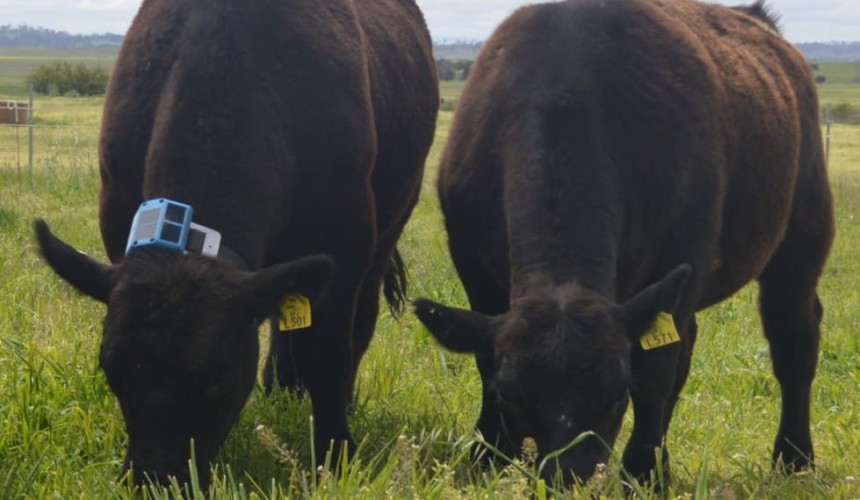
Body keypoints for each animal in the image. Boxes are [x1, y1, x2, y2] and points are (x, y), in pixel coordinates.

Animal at [34, 0, 438, 489]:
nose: (157, 481)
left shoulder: (348, 234)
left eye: (219, 378)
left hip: (390, 223)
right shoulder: (117, 223)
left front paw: (335, 454)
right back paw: (282, 392)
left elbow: (326, 353)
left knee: (357, 324)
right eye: (112, 371)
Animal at [414, 0, 833, 488]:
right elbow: (484, 357)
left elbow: (655, 372)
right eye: (510, 396)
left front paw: (643, 471)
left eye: (616, 395)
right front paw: (488, 455)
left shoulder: (683, 254)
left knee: (793, 339)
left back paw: (794, 457)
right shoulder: (474, 267)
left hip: (802, 236)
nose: (567, 475)